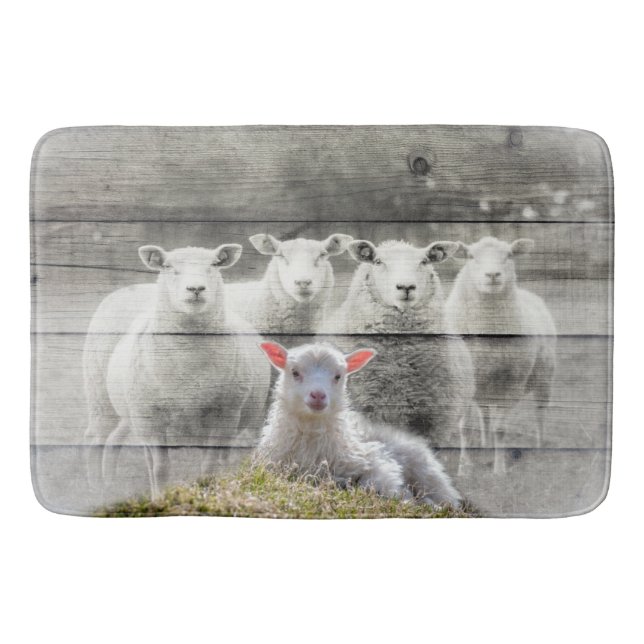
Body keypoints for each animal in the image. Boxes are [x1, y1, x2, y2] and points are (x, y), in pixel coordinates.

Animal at [83, 244, 272, 497]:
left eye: (214, 265)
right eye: (168, 266)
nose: (196, 288)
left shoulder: (225, 414)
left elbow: (208, 466)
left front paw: (208, 493)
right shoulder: (152, 418)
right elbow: (160, 468)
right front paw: (160, 497)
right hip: (107, 400)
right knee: (102, 439)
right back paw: (99, 488)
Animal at [255, 341, 461, 506]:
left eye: (338, 376)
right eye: (295, 372)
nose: (318, 395)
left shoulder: (377, 461)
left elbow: (376, 484)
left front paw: (406, 499)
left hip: (426, 473)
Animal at [444, 236, 557, 473]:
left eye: (509, 255)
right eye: (471, 256)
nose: (493, 275)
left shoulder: (511, 383)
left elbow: (501, 429)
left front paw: (499, 470)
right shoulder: (464, 382)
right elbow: (465, 428)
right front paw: (464, 468)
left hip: (544, 378)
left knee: (540, 413)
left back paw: (539, 448)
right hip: (483, 385)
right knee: (484, 414)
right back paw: (485, 446)